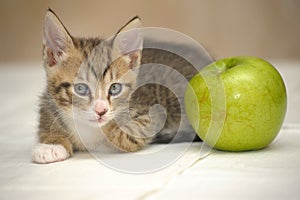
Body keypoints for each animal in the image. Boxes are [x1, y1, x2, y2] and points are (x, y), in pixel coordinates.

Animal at [31, 8, 207, 163]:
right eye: (81, 88)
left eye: (114, 88)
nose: (101, 111)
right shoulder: (47, 103)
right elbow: (46, 123)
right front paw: (52, 145)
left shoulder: (151, 113)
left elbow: (128, 134)